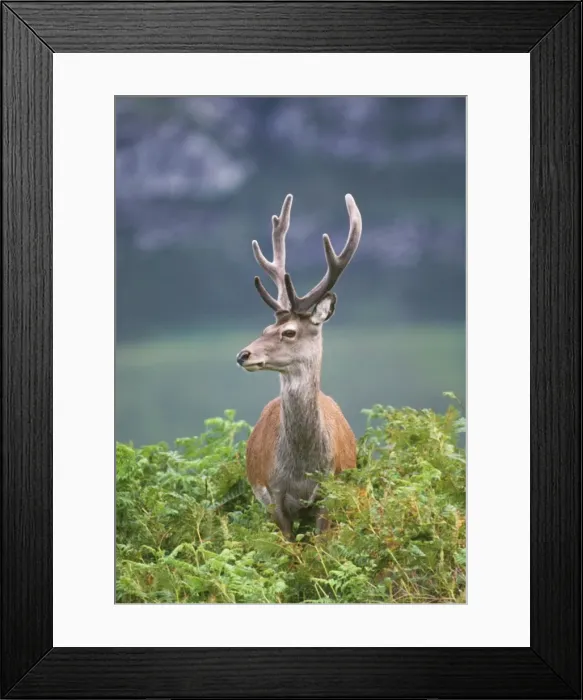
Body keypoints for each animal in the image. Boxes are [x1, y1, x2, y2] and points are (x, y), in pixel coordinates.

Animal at [236, 193, 362, 540]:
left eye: (289, 332)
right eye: (266, 328)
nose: (244, 355)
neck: (303, 470)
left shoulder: (330, 492)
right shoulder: (272, 495)